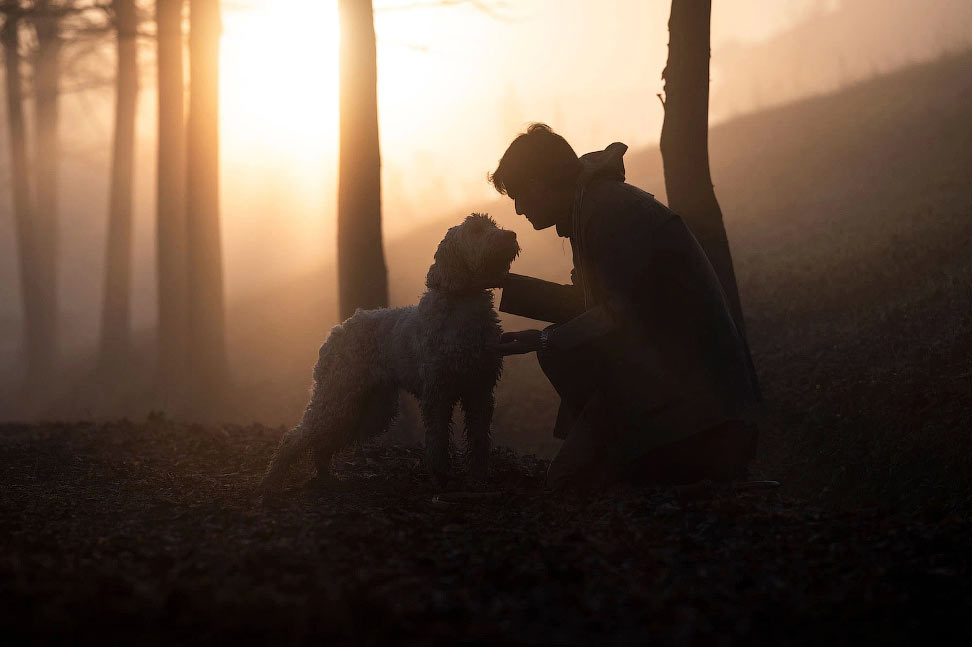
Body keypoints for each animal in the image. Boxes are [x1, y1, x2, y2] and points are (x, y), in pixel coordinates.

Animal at [256, 213, 516, 492]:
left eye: (493, 224)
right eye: (476, 230)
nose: (511, 235)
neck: (465, 304)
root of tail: (337, 330)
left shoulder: (480, 391)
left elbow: (479, 440)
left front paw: (478, 477)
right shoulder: (437, 394)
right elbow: (437, 440)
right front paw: (440, 476)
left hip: (371, 408)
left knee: (323, 443)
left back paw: (325, 476)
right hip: (338, 397)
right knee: (295, 437)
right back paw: (270, 484)